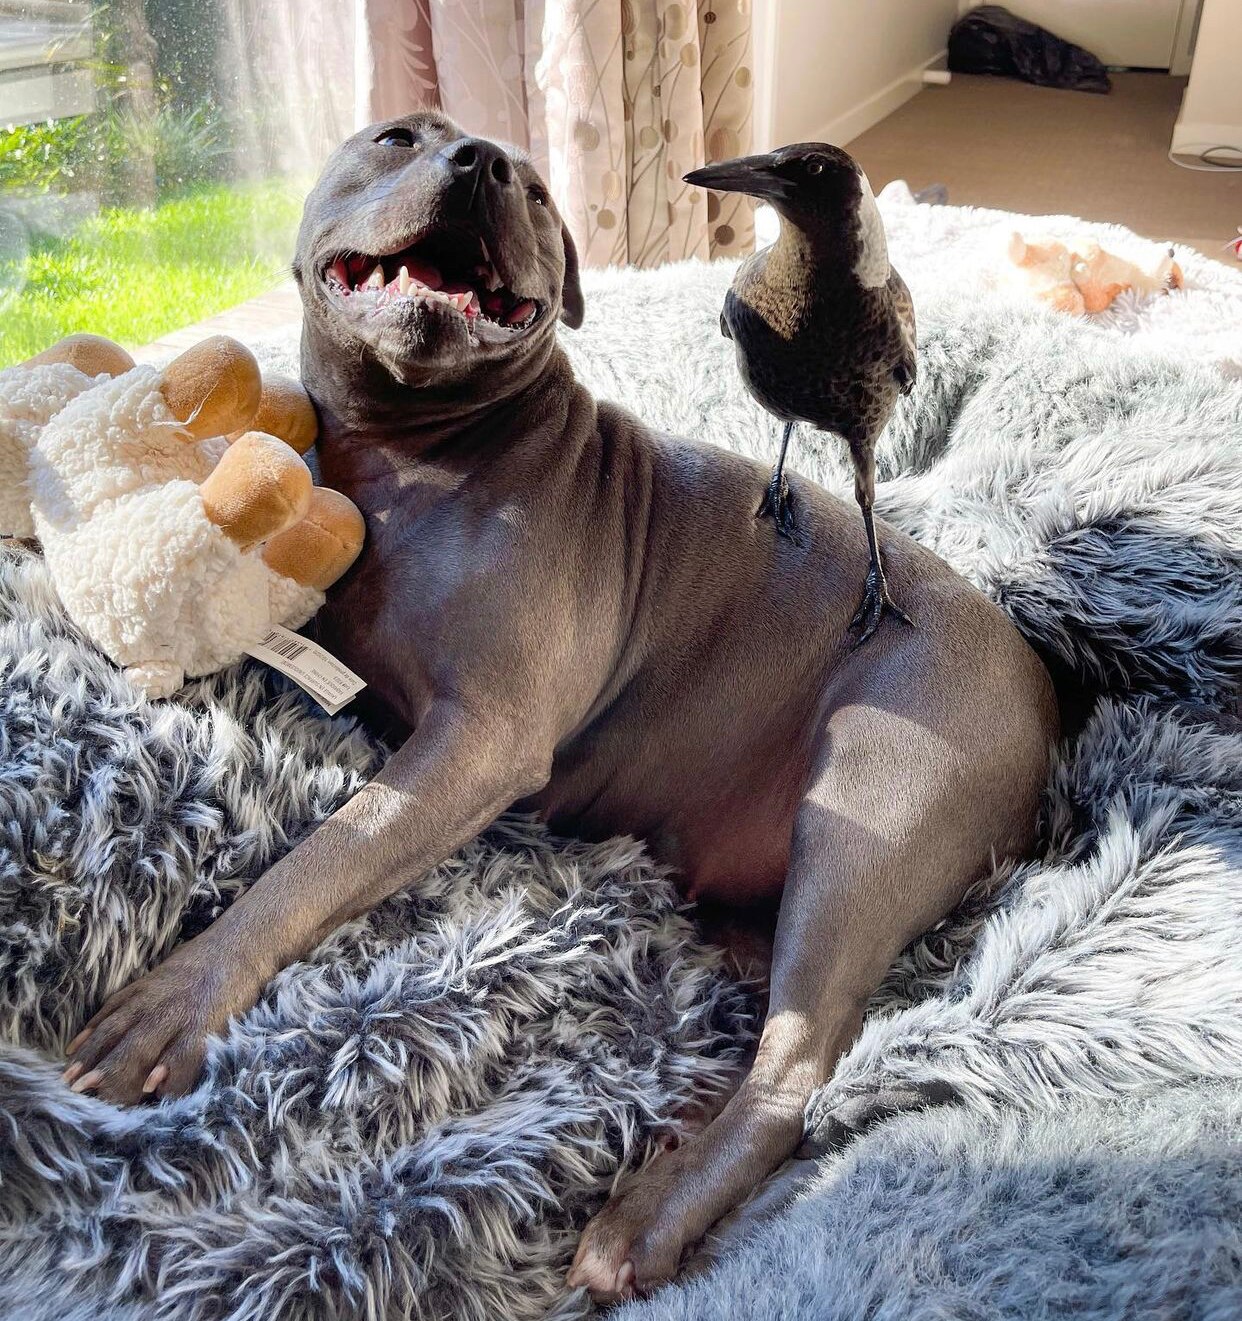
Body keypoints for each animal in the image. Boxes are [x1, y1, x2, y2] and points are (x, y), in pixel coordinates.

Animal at [62, 113, 1058, 1304]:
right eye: (396, 137)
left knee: (799, 1070)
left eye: (536, 192)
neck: (423, 453)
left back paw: (646, 1215)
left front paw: (175, 993)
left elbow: (323, 852)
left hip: (868, 804)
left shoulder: (480, 743)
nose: (485, 161)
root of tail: (1049, 699)